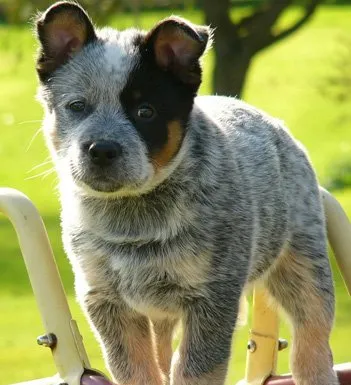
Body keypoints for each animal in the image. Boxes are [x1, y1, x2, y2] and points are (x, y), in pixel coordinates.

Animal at [35, 3, 338, 384]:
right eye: (77, 106)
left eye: (145, 111)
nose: (101, 149)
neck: (132, 220)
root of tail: (273, 123)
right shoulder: (105, 299)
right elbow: (135, 369)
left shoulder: (213, 296)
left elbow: (194, 369)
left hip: (304, 263)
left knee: (312, 335)